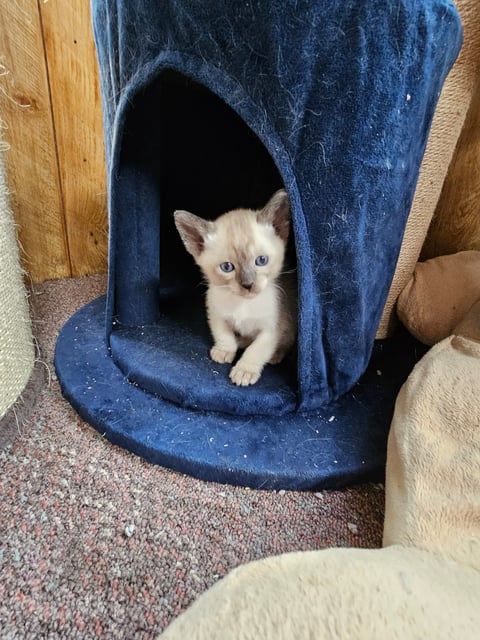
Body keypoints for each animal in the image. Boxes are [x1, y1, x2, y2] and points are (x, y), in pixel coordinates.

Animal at [174, 188, 296, 388]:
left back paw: (275, 355)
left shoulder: (272, 328)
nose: (248, 285)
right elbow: (223, 334)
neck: (243, 304)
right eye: (227, 267)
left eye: (261, 260)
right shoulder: (215, 313)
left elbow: (257, 350)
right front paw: (224, 350)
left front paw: (244, 370)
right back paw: (242, 340)